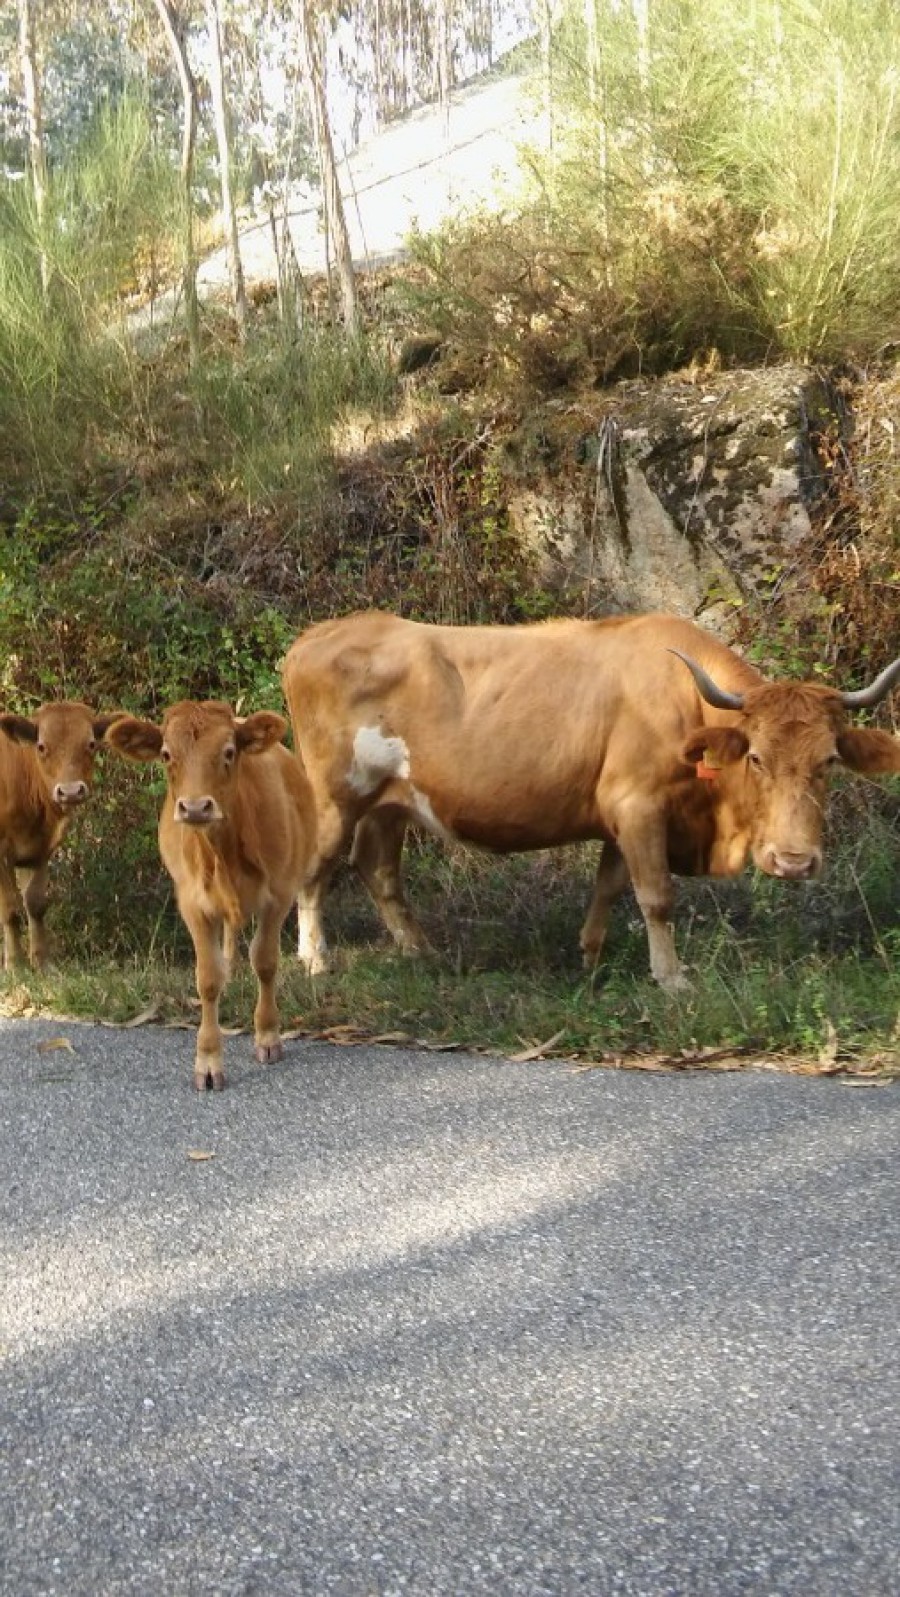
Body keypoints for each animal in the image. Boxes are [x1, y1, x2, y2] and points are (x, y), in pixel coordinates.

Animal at [0, 702, 122, 970]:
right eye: (41, 746)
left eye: (91, 744)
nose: (70, 791)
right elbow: (10, 909)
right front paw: (15, 965)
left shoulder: (41, 850)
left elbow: (35, 904)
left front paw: (42, 962)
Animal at [105, 705, 314, 1092]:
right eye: (166, 754)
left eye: (229, 752)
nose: (195, 807)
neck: (224, 851)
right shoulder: (193, 905)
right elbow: (208, 978)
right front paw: (208, 1060)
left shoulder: (279, 894)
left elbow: (265, 962)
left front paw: (268, 1035)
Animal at [280, 610, 900, 983]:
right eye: (756, 758)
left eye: (828, 761)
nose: (793, 862)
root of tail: (318, 635)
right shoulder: (638, 805)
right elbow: (656, 895)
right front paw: (671, 978)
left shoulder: (619, 818)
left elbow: (609, 886)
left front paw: (591, 955)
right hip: (336, 794)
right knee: (315, 868)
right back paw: (315, 958)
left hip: (389, 803)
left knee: (377, 868)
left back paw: (420, 952)